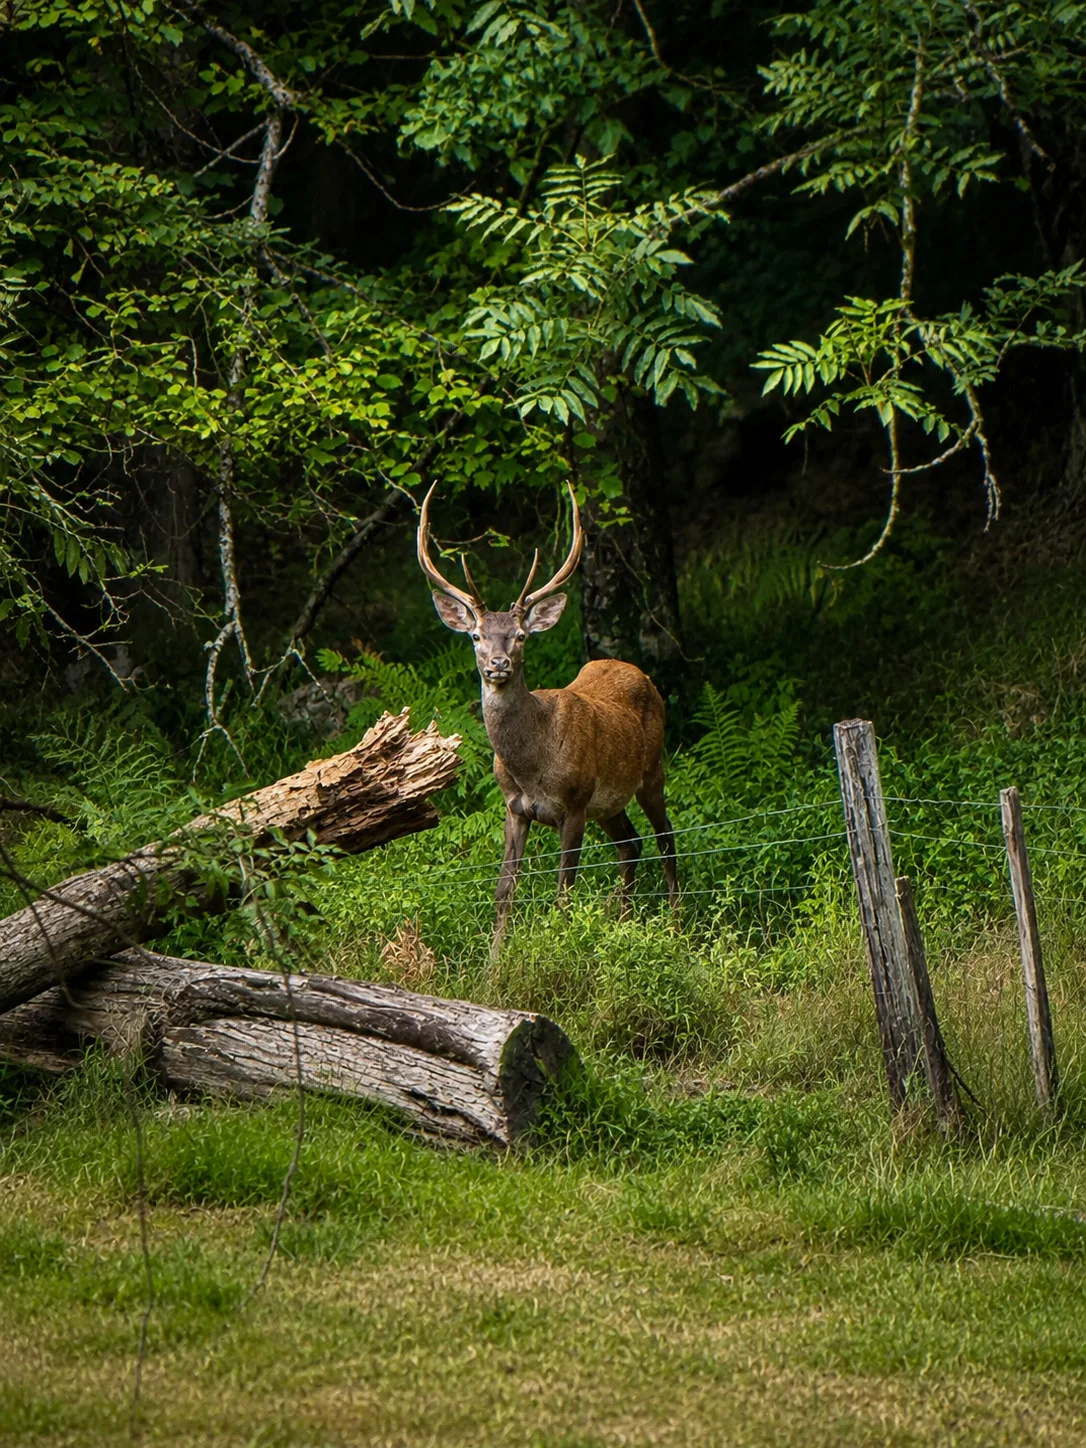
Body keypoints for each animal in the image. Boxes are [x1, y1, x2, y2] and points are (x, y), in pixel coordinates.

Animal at [417, 482, 678, 940]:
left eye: (521, 635)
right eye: (475, 635)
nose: (498, 664)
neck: (531, 764)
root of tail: (637, 671)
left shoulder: (573, 803)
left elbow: (563, 894)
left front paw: (560, 947)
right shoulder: (513, 807)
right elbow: (504, 890)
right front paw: (495, 958)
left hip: (650, 770)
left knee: (667, 841)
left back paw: (677, 930)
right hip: (608, 803)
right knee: (631, 844)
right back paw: (625, 921)